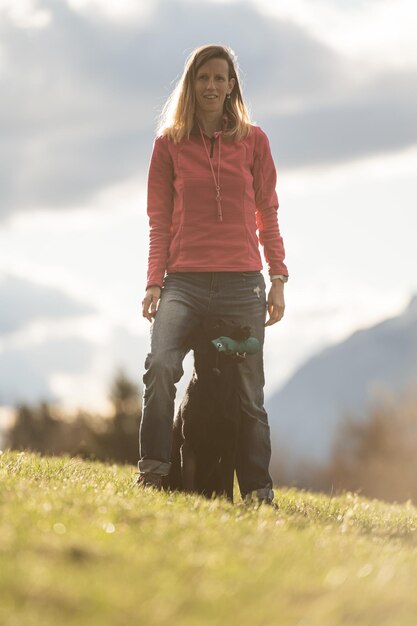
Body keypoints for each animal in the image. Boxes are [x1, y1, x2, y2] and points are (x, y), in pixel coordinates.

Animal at [162, 320, 254, 500]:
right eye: (216, 326)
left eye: (233, 321)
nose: (247, 328)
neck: (216, 384)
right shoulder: (188, 445)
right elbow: (189, 481)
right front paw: (189, 500)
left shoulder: (229, 448)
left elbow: (229, 487)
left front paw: (229, 504)